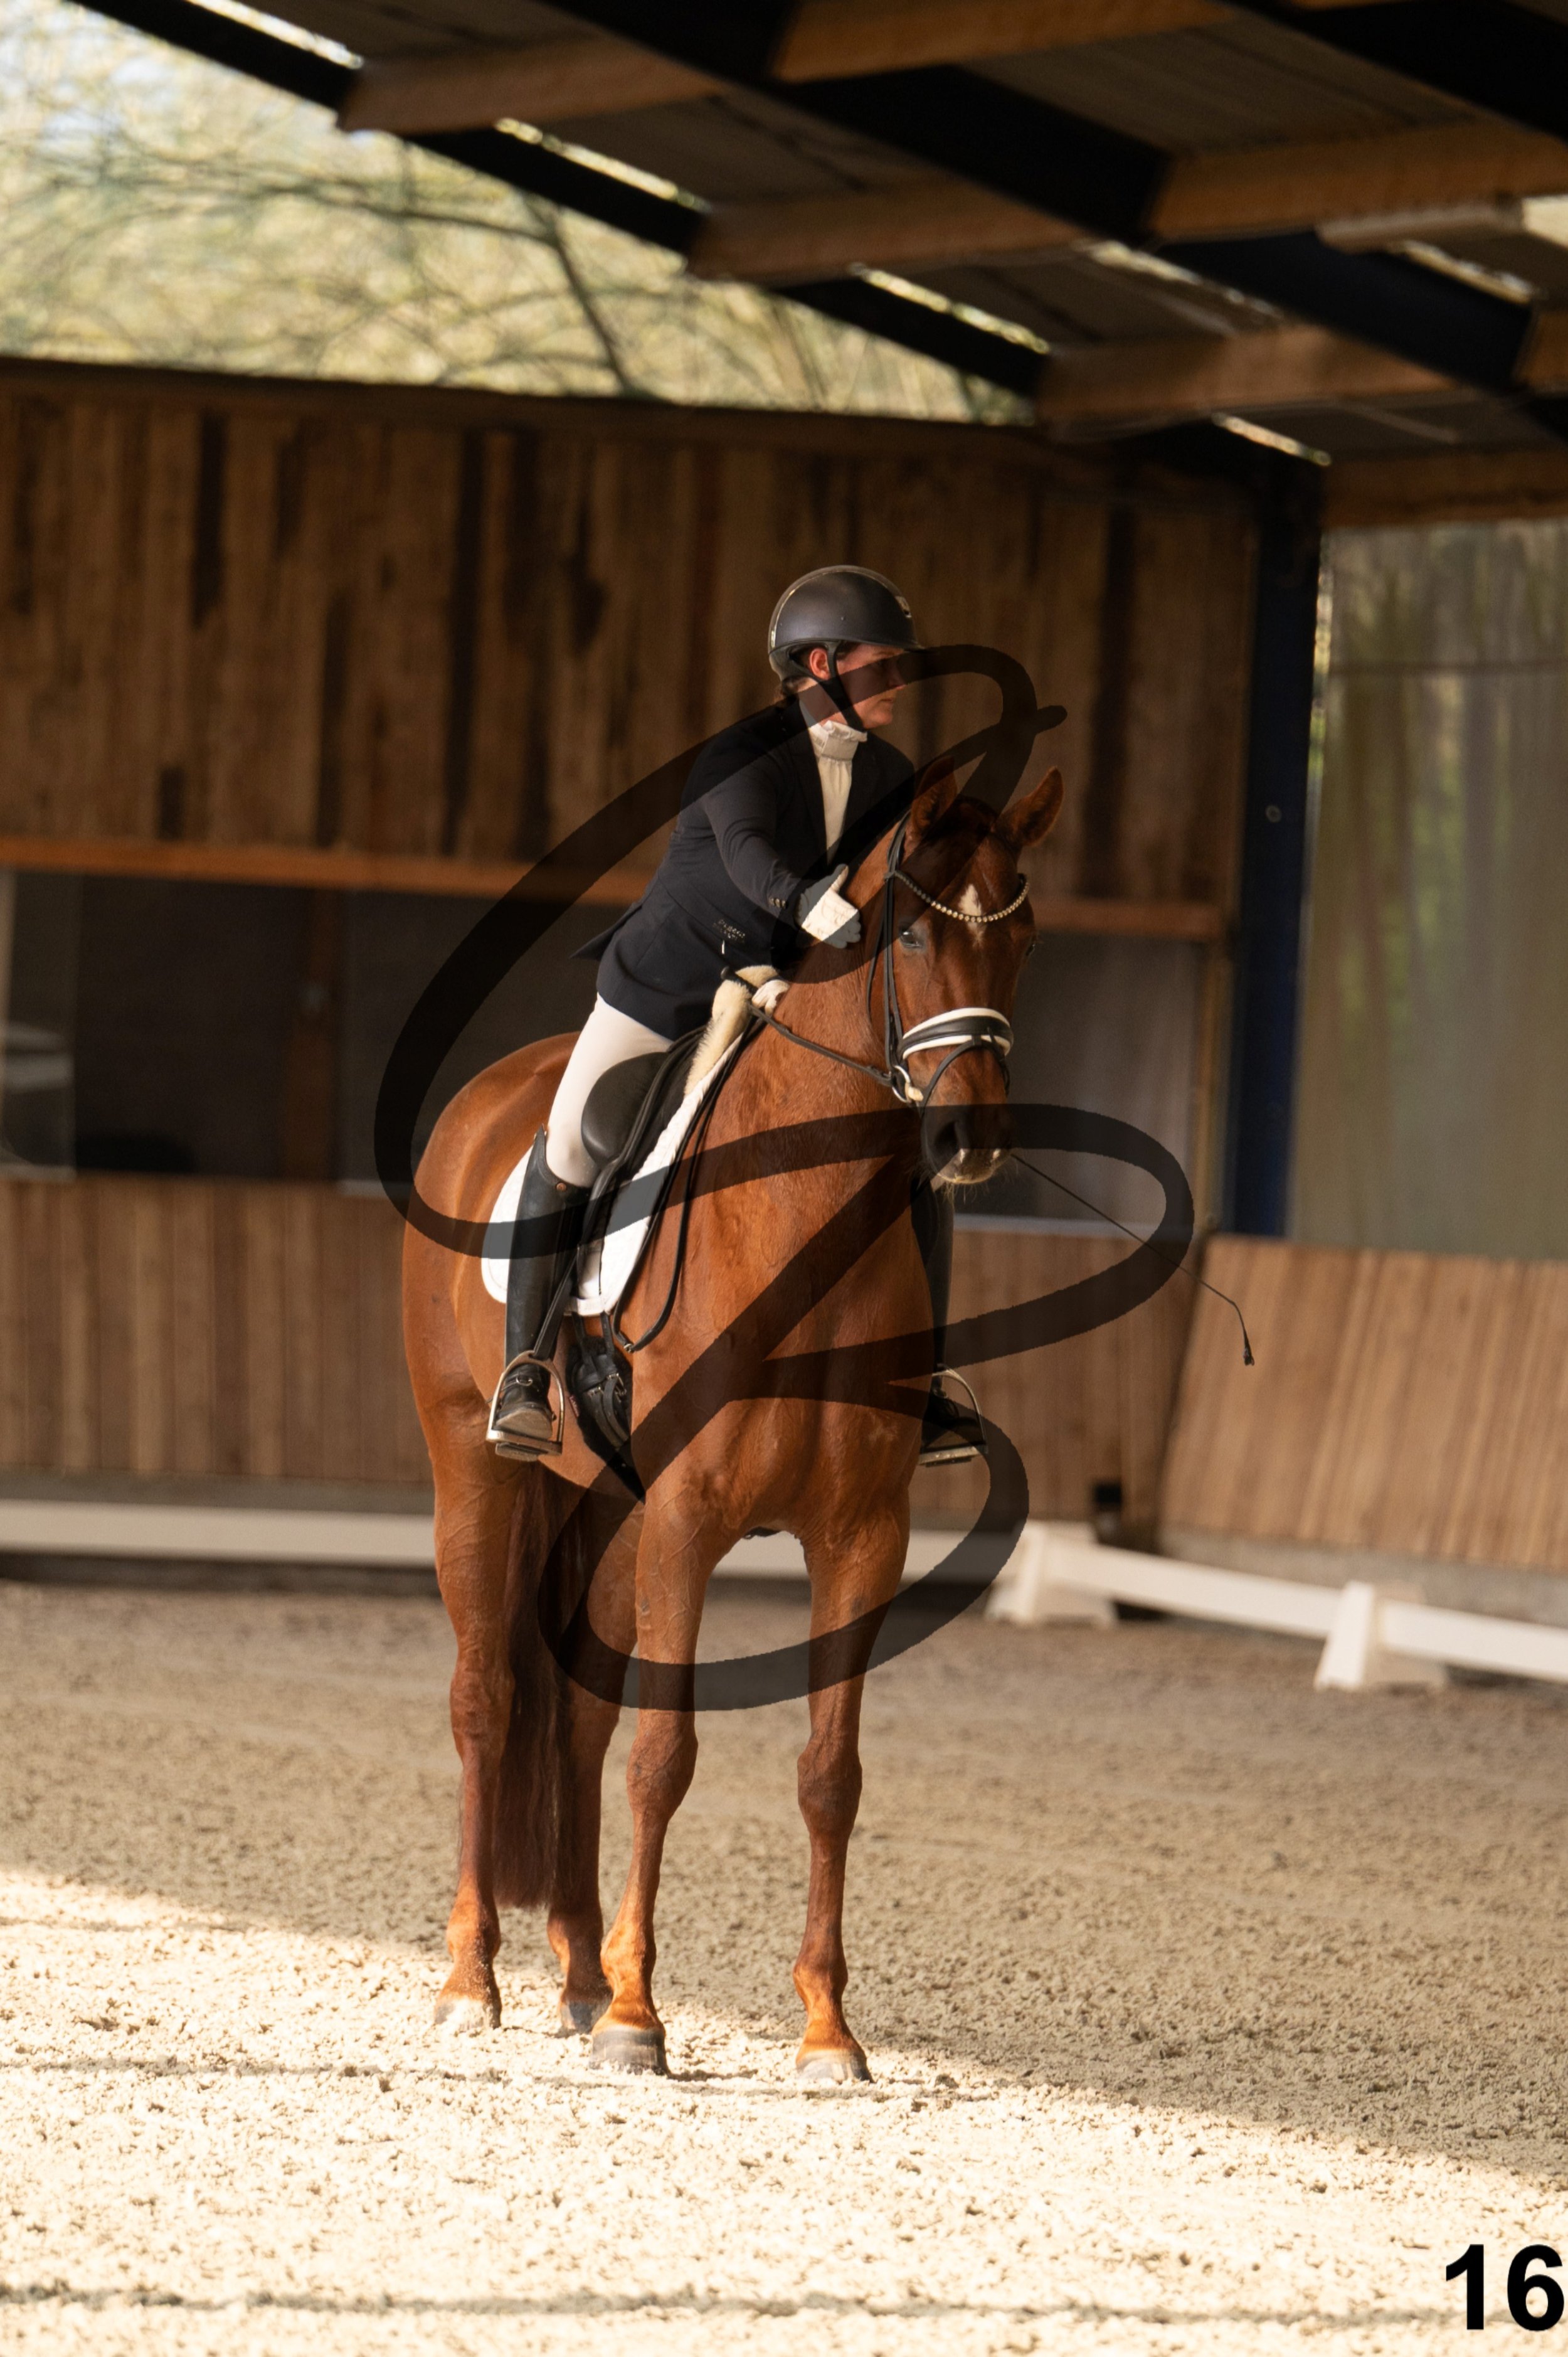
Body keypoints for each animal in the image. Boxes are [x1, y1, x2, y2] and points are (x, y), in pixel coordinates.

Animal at [402, 760, 1065, 2081]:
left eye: (1021, 935)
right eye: (913, 934)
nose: (968, 1139)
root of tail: (490, 1097)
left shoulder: (861, 1534)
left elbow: (828, 1774)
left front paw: (826, 2030)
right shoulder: (694, 1519)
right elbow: (668, 1759)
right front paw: (638, 2019)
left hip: (609, 1515)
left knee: (579, 1720)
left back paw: (572, 1969)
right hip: (479, 1475)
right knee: (487, 1700)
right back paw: (472, 1979)